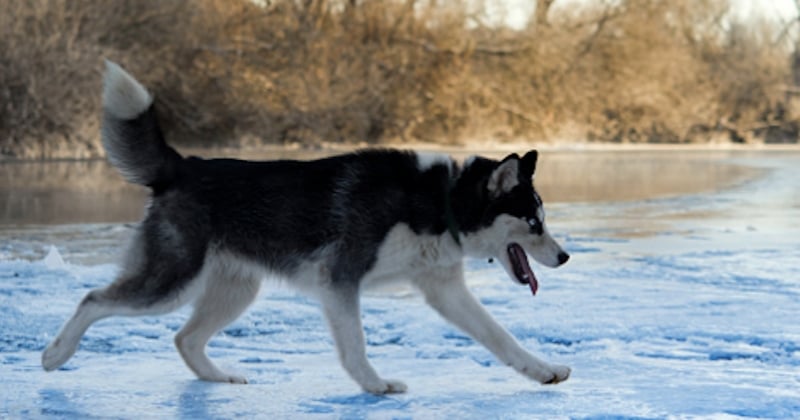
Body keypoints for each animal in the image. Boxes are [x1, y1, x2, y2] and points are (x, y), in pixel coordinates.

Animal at [42, 61, 568, 394]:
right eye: (534, 222)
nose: (565, 256)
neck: (443, 200)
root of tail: (185, 165)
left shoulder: (443, 288)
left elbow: (500, 337)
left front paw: (542, 371)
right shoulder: (340, 281)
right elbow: (355, 346)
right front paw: (375, 385)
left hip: (236, 289)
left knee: (184, 339)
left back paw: (217, 378)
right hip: (171, 281)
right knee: (93, 300)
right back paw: (55, 355)